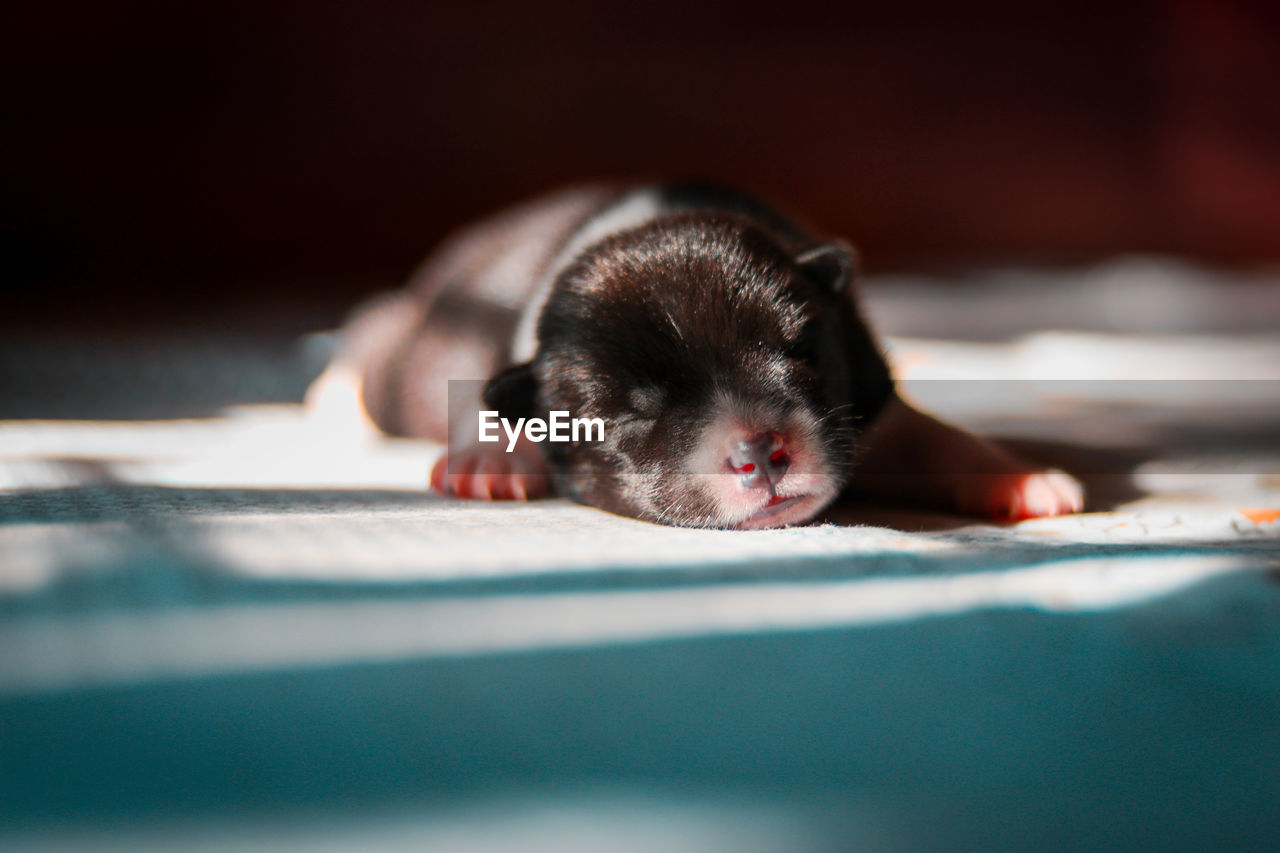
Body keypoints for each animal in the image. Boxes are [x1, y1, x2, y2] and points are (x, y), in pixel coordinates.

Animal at [309, 180, 1080, 525]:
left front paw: (1021, 479)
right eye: (628, 414)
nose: (760, 451)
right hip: (406, 349)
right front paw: (489, 461)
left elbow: (927, 434)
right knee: (369, 339)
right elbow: (488, 399)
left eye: (801, 351)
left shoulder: (870, 393)